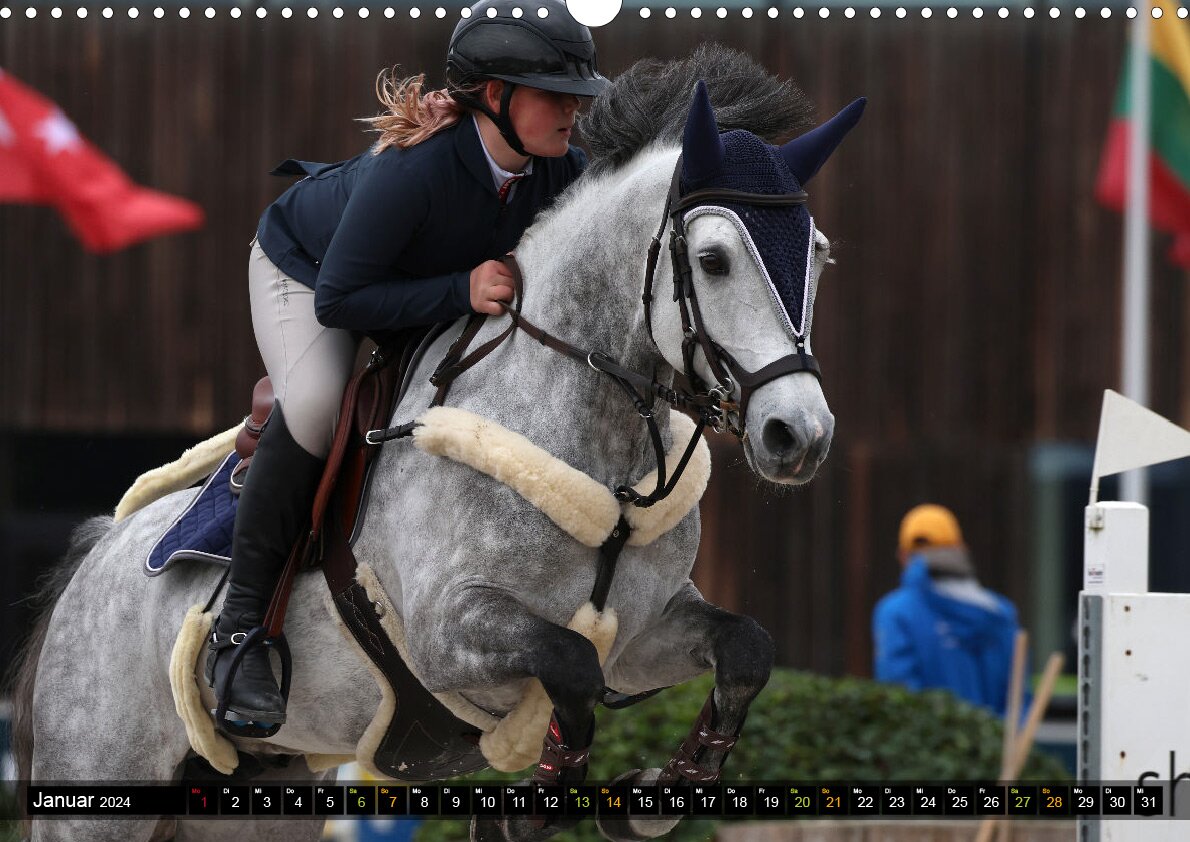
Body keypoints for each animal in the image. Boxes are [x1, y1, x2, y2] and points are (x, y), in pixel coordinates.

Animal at [10, 45, 863, 842]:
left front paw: (662, 792)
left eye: (820, 253)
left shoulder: (646, 634)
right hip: (99, 784)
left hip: (261, 789)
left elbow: (745, 648)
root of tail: (98, 551)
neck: (596, 445)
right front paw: (539, 800)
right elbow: (572, 666)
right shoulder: (446, 634)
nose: (800, 436)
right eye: (714, 261)